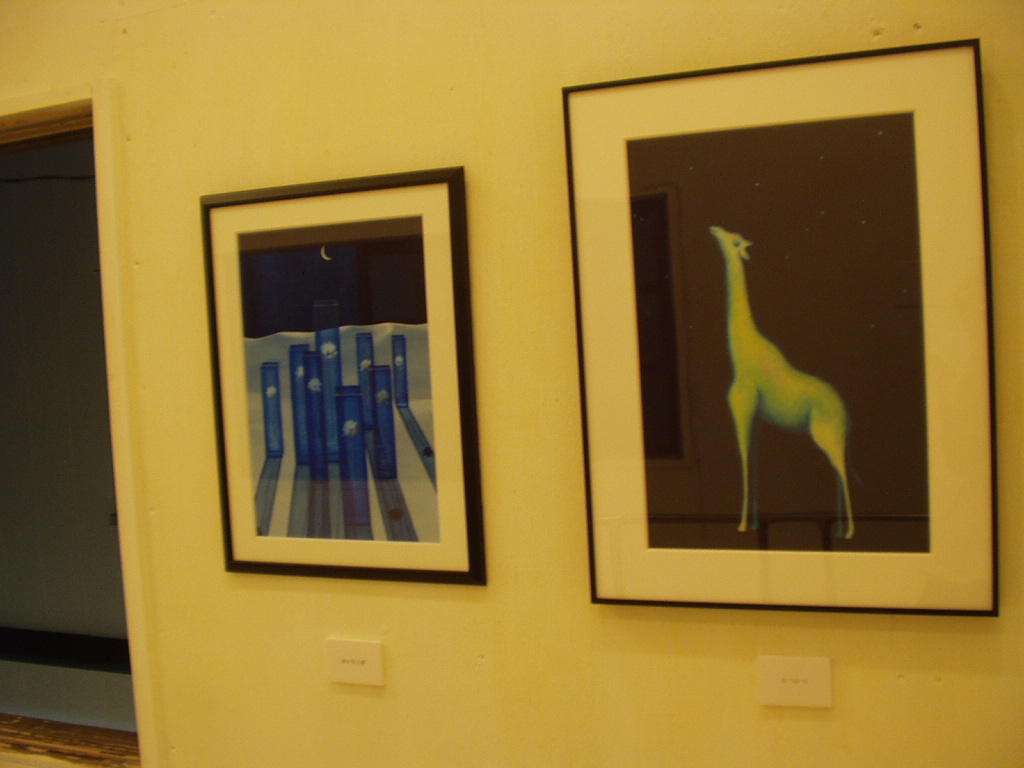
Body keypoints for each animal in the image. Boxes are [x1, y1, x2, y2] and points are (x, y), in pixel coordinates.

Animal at [709, 225, 854, 539]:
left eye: (732, 239)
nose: (714, 229)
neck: (741, 351)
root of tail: (845, 412)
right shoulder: (757, 420)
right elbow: (753, 463)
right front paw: (752, 524)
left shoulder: (740, 407)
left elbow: (743, 460)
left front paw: (740, 526)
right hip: (831, 433)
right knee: (839, 472)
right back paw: (840, 530)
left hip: (825, 432)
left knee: (842, 469)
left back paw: (849, 532)